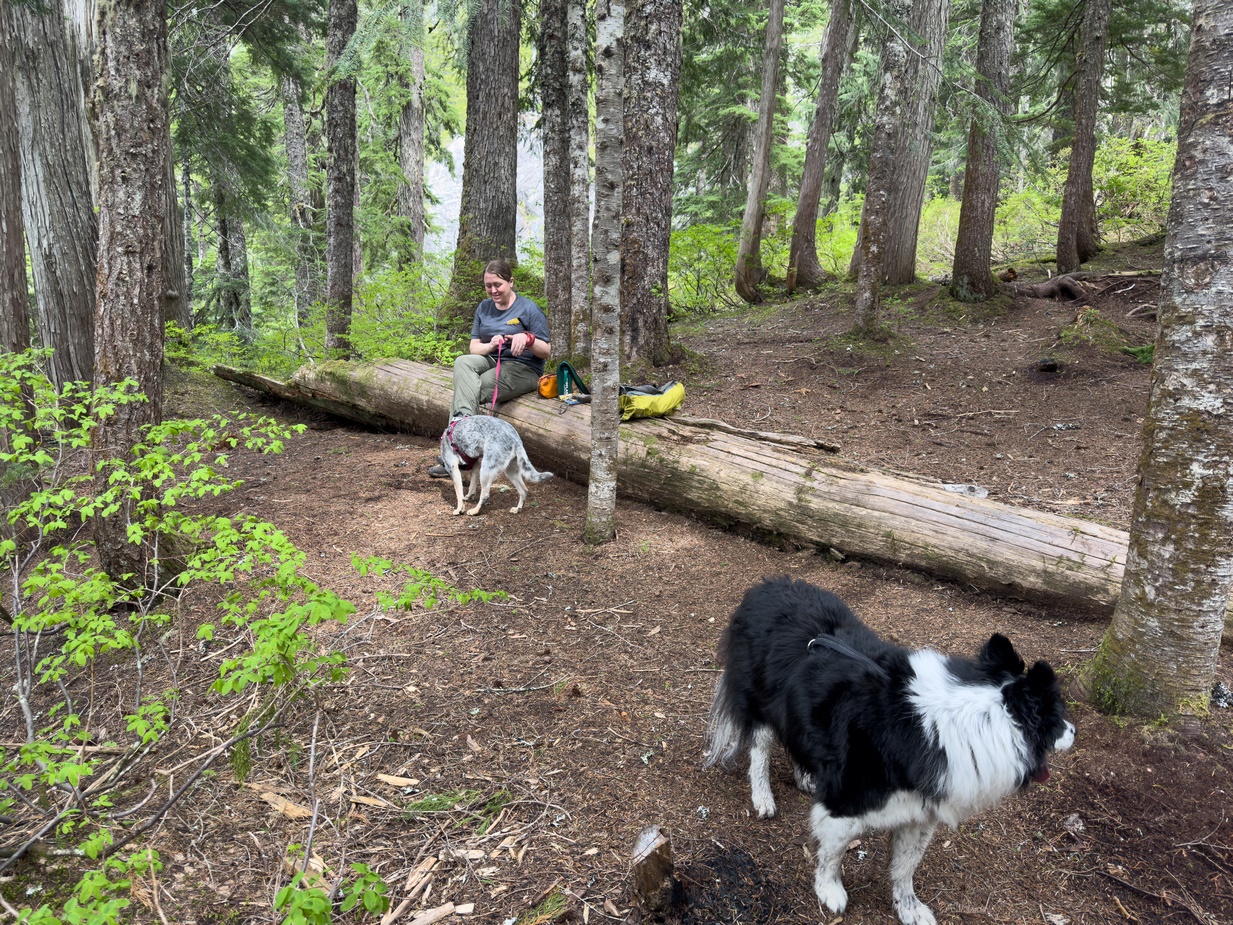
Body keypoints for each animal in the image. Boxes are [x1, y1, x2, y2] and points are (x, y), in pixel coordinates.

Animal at [703, 576, 1075, 925]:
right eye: (1058, 716)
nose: (1074, 732)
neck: (945, 728)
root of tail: (766, 586)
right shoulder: (844, 806)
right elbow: (833, 854)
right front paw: (829, 890)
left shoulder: (919, 814)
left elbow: (904, 869)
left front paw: (908, 908)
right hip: (760, 704)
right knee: (759, 751)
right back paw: (763, 797)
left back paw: (806, 775)